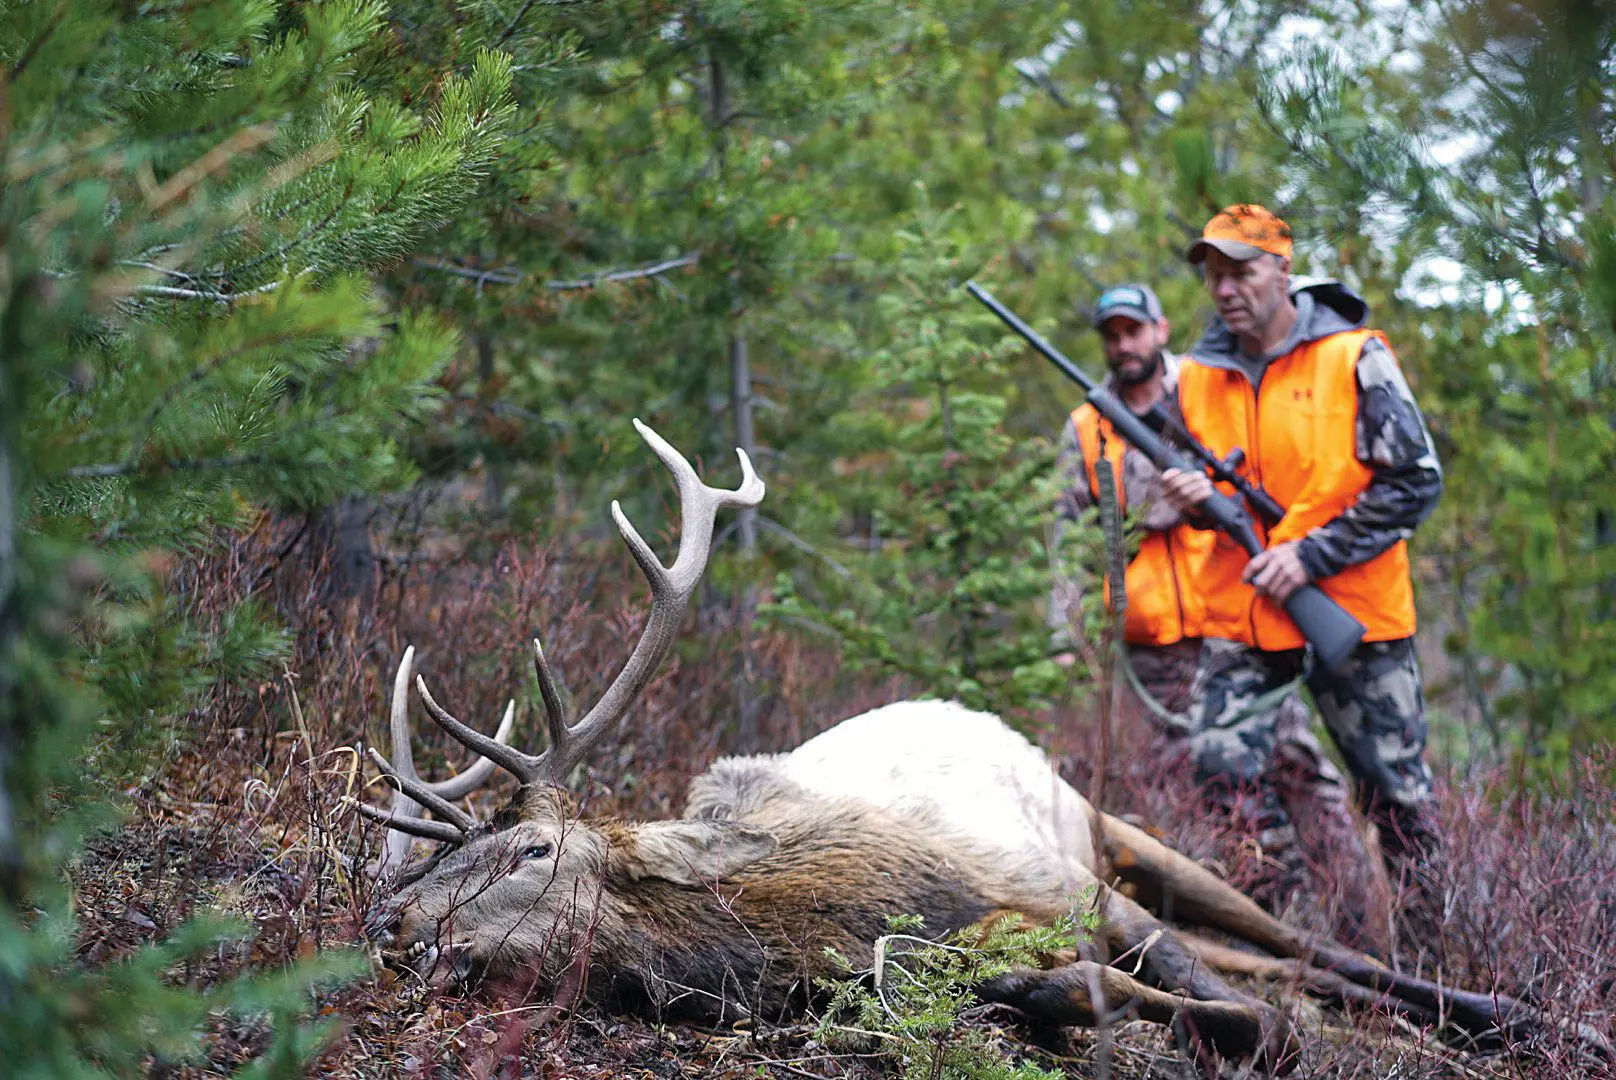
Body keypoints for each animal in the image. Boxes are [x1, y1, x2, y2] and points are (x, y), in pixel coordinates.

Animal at [353, 417, 1603, 1067]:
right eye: (420, 870)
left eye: (530, 852)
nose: (385, 922)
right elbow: (1021, 987)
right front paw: (1032, 992)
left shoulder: (1065, 885)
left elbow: (1260, 1022)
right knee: (1286, 961)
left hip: (1128, 832)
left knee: (1316, 951)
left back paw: (1527, 1020)